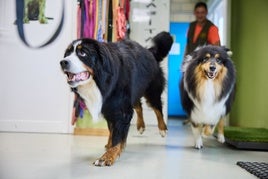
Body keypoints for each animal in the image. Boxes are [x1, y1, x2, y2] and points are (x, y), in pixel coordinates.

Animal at [60, 31, 174, 166]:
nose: (63, 62)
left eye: (82, 53)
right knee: (138, 106)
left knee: (157, 108)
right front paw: (112, 146)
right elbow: (112, 130)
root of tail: (149, 51)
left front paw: (108, 156)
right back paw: (140, 125)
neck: (100, 81)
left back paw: (162, 129)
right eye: (67, 53)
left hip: (152, 91)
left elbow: (117, 135)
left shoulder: (120, 108)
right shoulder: (109, 107)